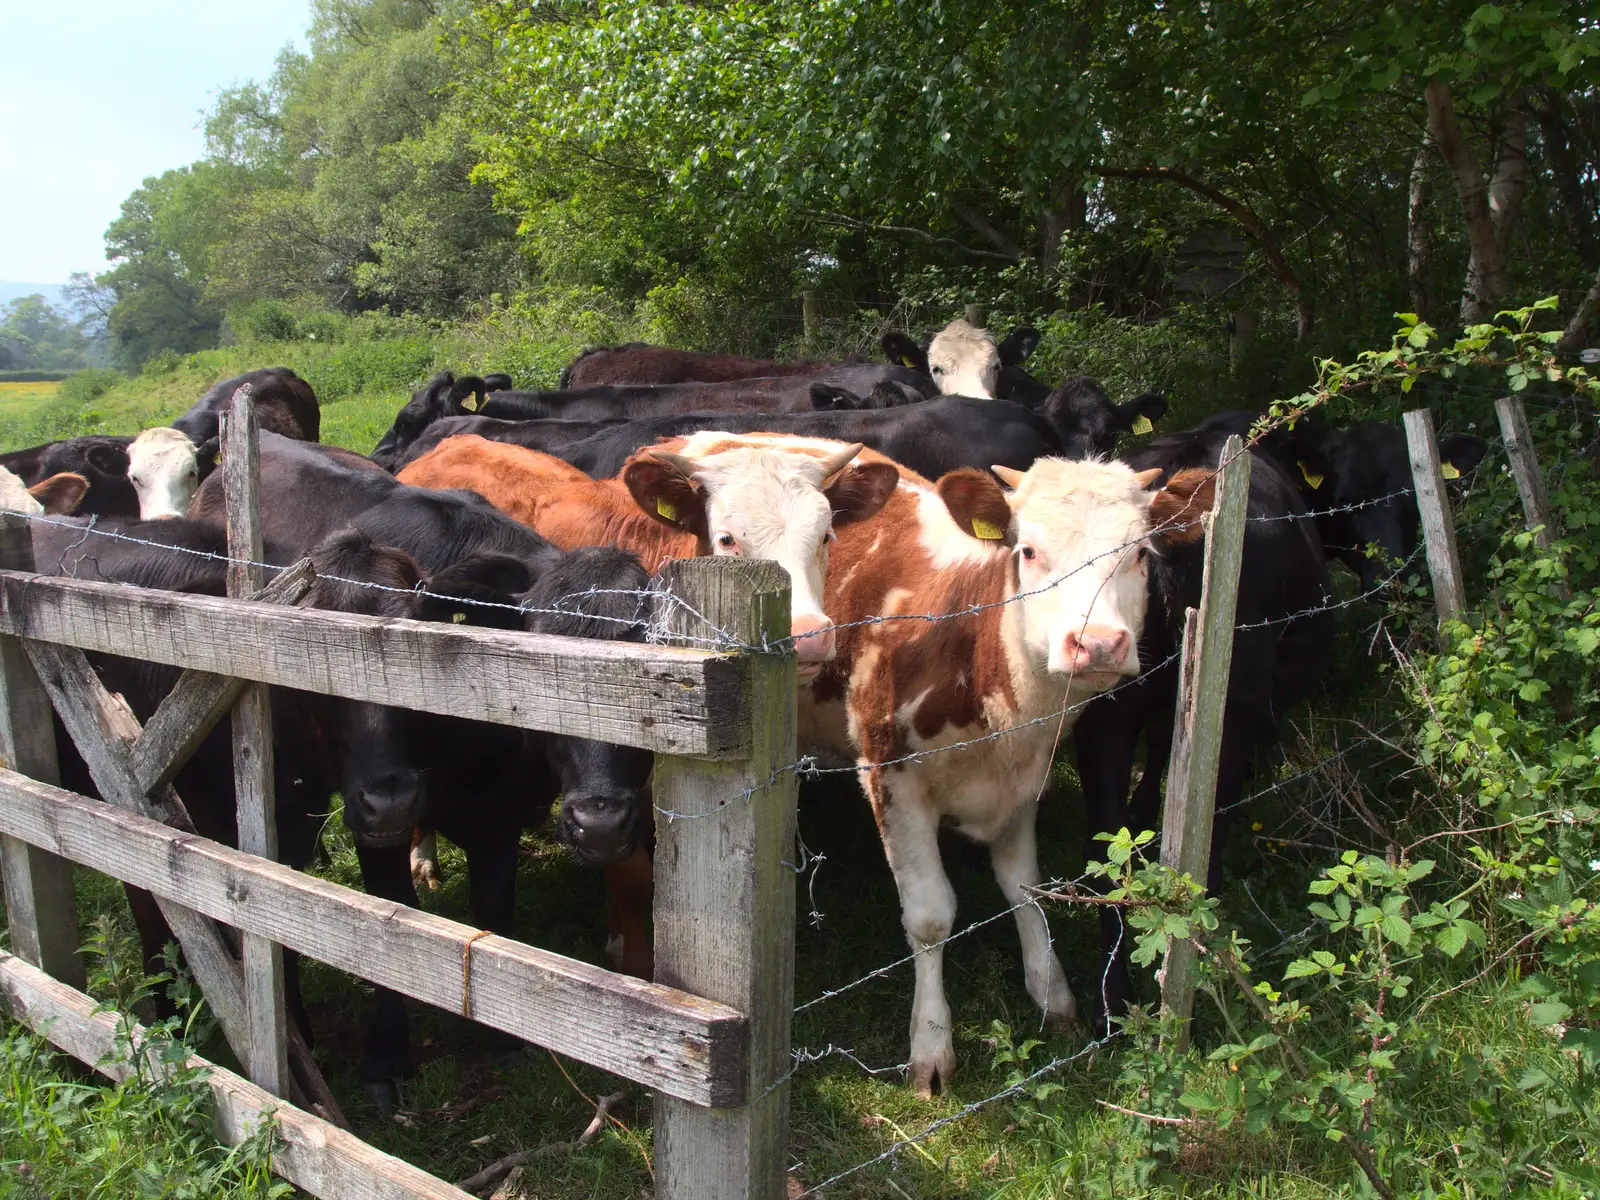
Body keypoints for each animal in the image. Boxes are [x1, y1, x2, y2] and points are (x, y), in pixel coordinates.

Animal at [800, 448, 1209, 1094]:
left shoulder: (1022, 774)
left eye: (1140, 553)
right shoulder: (890, 775)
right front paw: (931, 1048)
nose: (1098, 644)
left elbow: (1024, 888)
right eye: (1029, 551)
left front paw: (1054, 997)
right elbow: (930, 917)